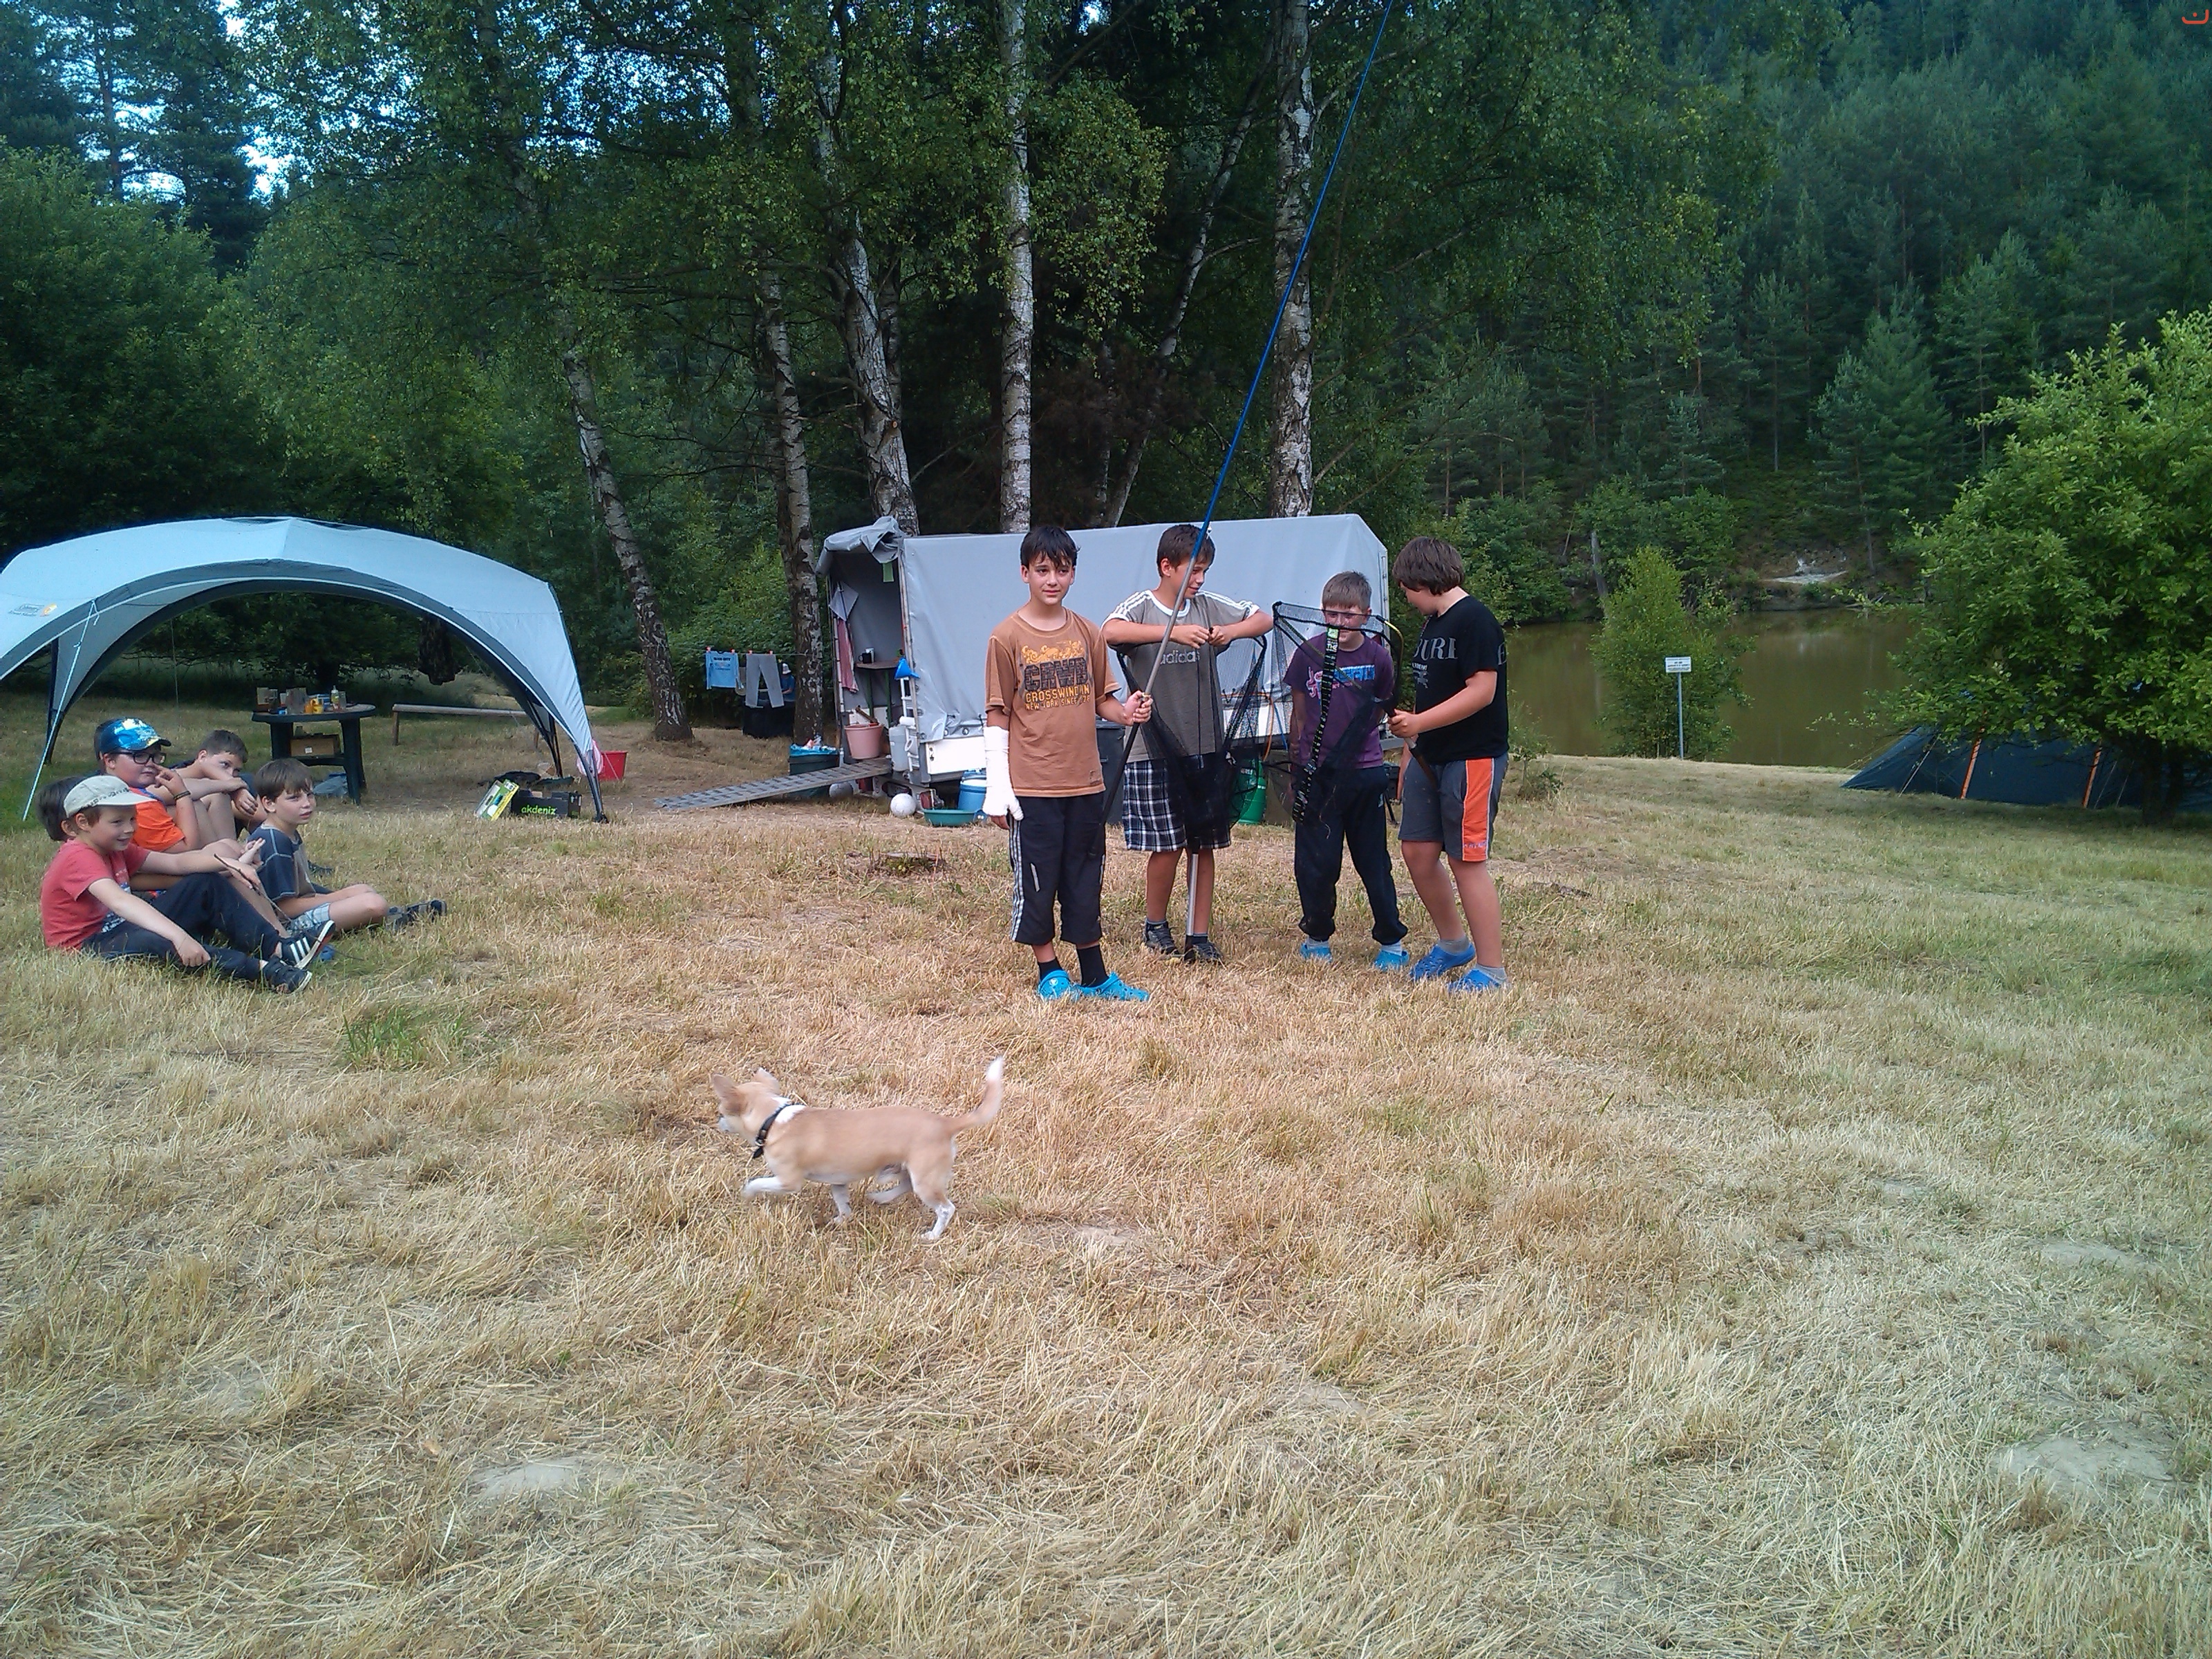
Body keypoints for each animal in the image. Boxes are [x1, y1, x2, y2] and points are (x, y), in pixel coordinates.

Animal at [711, 1057, 1003, 1240]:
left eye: (721, 1111)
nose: (717, 1122)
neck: (774, 1119)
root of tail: (945, 1123)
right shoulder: (838, 1181)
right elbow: (842, 1202)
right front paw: (842, 1220)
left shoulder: (788, 1181)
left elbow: (758, 1182)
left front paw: (747, 1194)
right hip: (910, 1170)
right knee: (905, 1185)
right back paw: (881, 1198)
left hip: (926, 1178)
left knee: (945, 1208)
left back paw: (932, 1235)